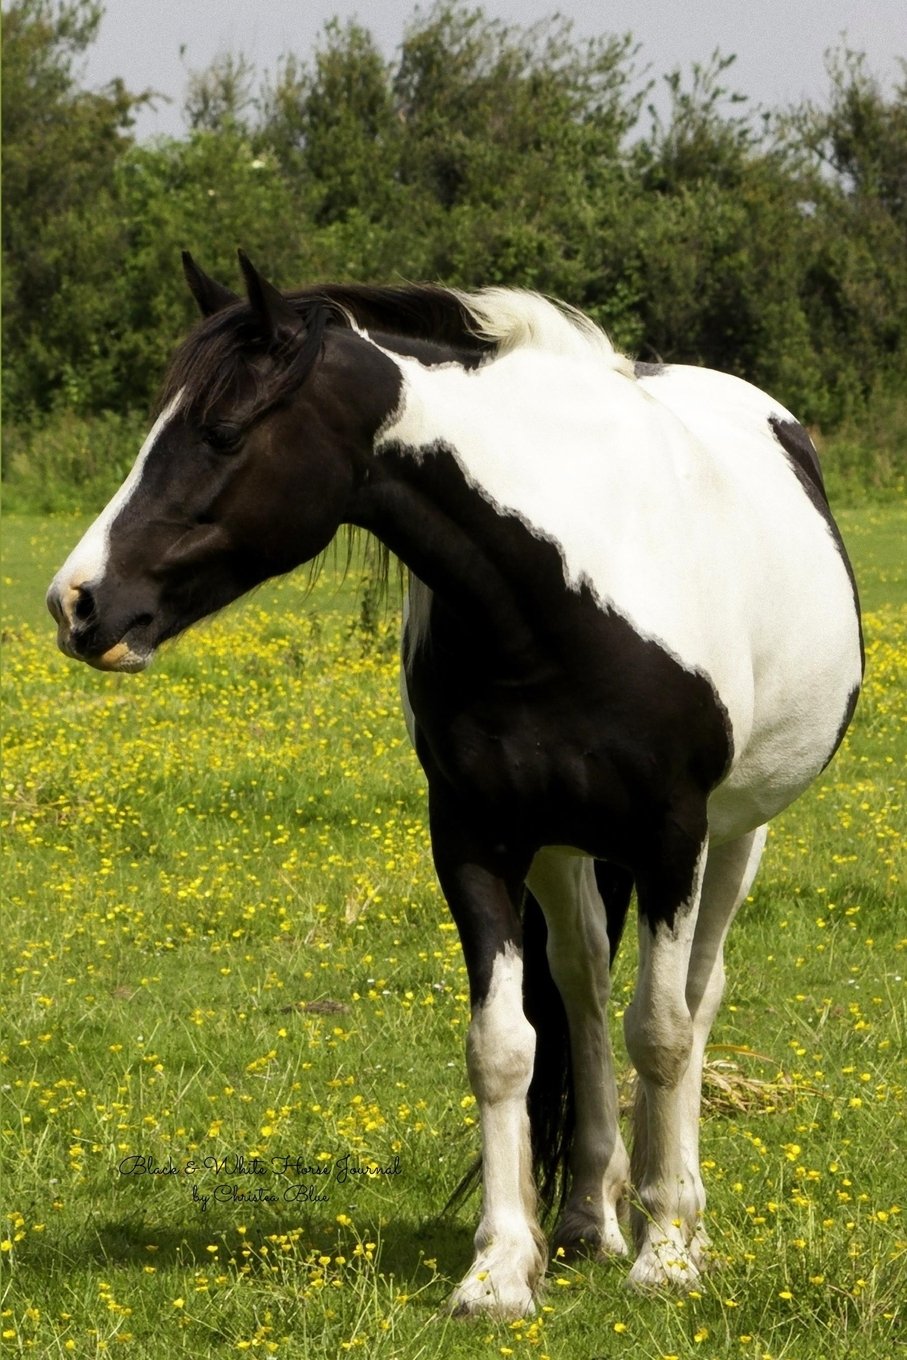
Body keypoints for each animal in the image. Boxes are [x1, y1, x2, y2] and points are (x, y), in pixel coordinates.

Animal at [47, 250, 863, 1318]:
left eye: (221, 431)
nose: (77, 603)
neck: (567, 588)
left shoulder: (670, 836)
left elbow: (663, 1032)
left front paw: (669, 1255)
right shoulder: (476, 839)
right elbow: (505, 1046)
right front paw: (500, 1268)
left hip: (734, 837)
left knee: (694, 996)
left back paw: (671, 1218)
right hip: (560, 848)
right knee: (586, 986)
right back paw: (588, 1215)